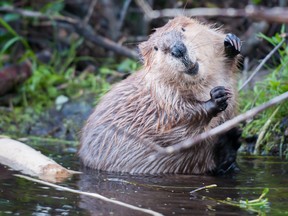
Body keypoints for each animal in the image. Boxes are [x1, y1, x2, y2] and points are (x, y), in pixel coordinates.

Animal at [78, 16, 241, 176]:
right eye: (156, 48)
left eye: (183, 29)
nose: (178, 49)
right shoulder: (163, 97)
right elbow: (179, 127)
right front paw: (216, 97)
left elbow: (226, 68)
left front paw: (231, 43)